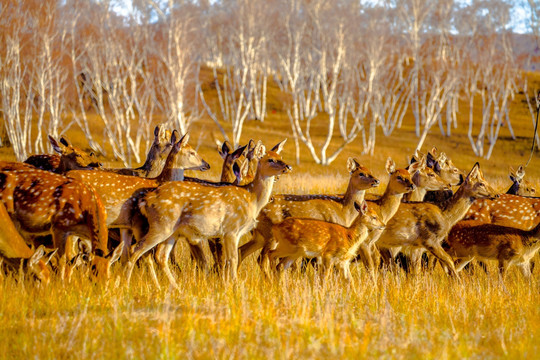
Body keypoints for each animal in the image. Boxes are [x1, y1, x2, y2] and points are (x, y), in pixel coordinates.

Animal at [127, 139, 294, 286]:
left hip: (172, 232)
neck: (251, 198)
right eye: (270, 159)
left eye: (280, 157)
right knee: (136, 250)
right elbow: (232, 259)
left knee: (160, 255)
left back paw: (175, 287)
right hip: (161, 224)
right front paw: (235, 286)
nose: (288, 166)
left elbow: (227, 260)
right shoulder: (230, 229)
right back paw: (126, 284)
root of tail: (146, 200)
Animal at [238, 156, 382, 272]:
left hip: (259, 235)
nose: (377, 181)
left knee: (242, 251)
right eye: (361, 173)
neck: (344, 211)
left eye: (370, 171)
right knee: (262, 258)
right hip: (270, 234)